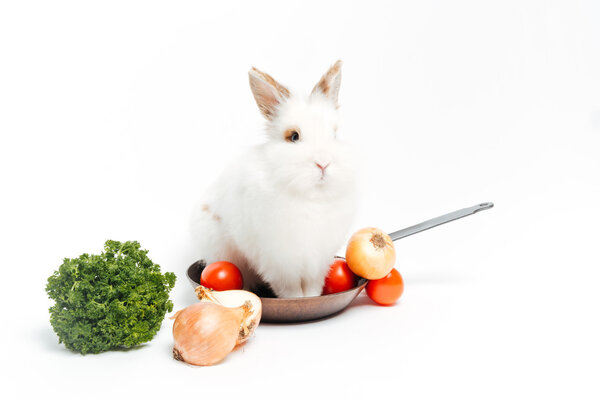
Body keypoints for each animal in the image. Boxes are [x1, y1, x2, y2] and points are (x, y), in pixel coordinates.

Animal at [191, 59, 356, 296]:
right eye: (293, 136)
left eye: (334, 134)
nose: (324, 163)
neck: (310, 196)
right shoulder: (277, 260)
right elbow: (290, 290)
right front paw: (297, 300)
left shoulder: (317, 262)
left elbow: (312, 288)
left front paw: (311, 298)